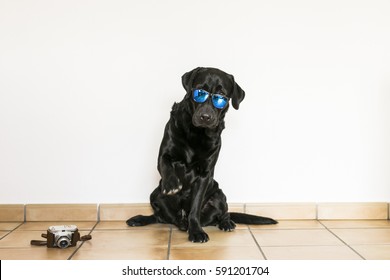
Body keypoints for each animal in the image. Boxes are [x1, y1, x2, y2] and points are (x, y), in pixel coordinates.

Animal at [126, 66, 276, 242]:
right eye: (199, 92)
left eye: (221, 97)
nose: (205, 117)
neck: (197, 134)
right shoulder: (163, 155)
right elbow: (165, 164)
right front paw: (172, 184)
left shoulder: (205, 174)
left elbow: (195, 208)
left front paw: (196, 231)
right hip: (155, 195)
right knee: (159, 216)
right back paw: (141, 219)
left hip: (219, 194)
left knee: (224, 213)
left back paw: (226, 223)